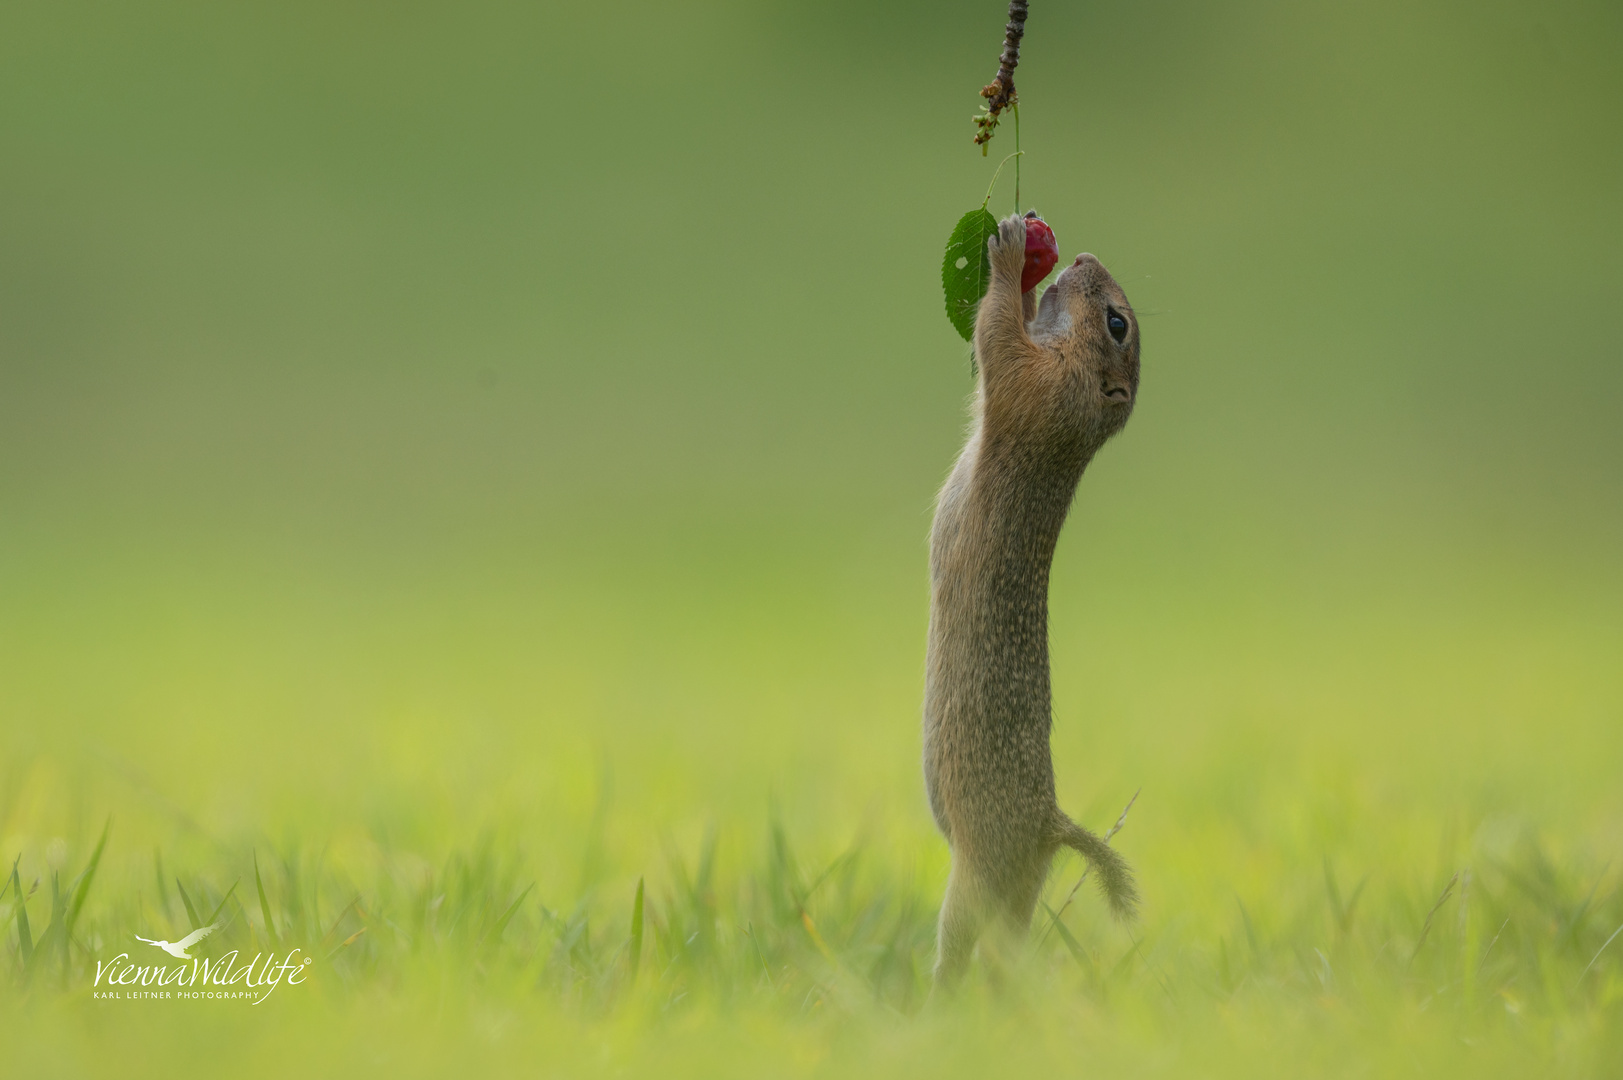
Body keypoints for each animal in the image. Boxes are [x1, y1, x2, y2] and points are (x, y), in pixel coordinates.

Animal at [928, 211, 1142, 987]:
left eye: (1117, 323)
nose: (1078, 255)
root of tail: (1051, 823)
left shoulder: (1035, 386)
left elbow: (994, 335)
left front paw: (1007, 253)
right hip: (1017, 891)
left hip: (977, 872)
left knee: (965, 944)